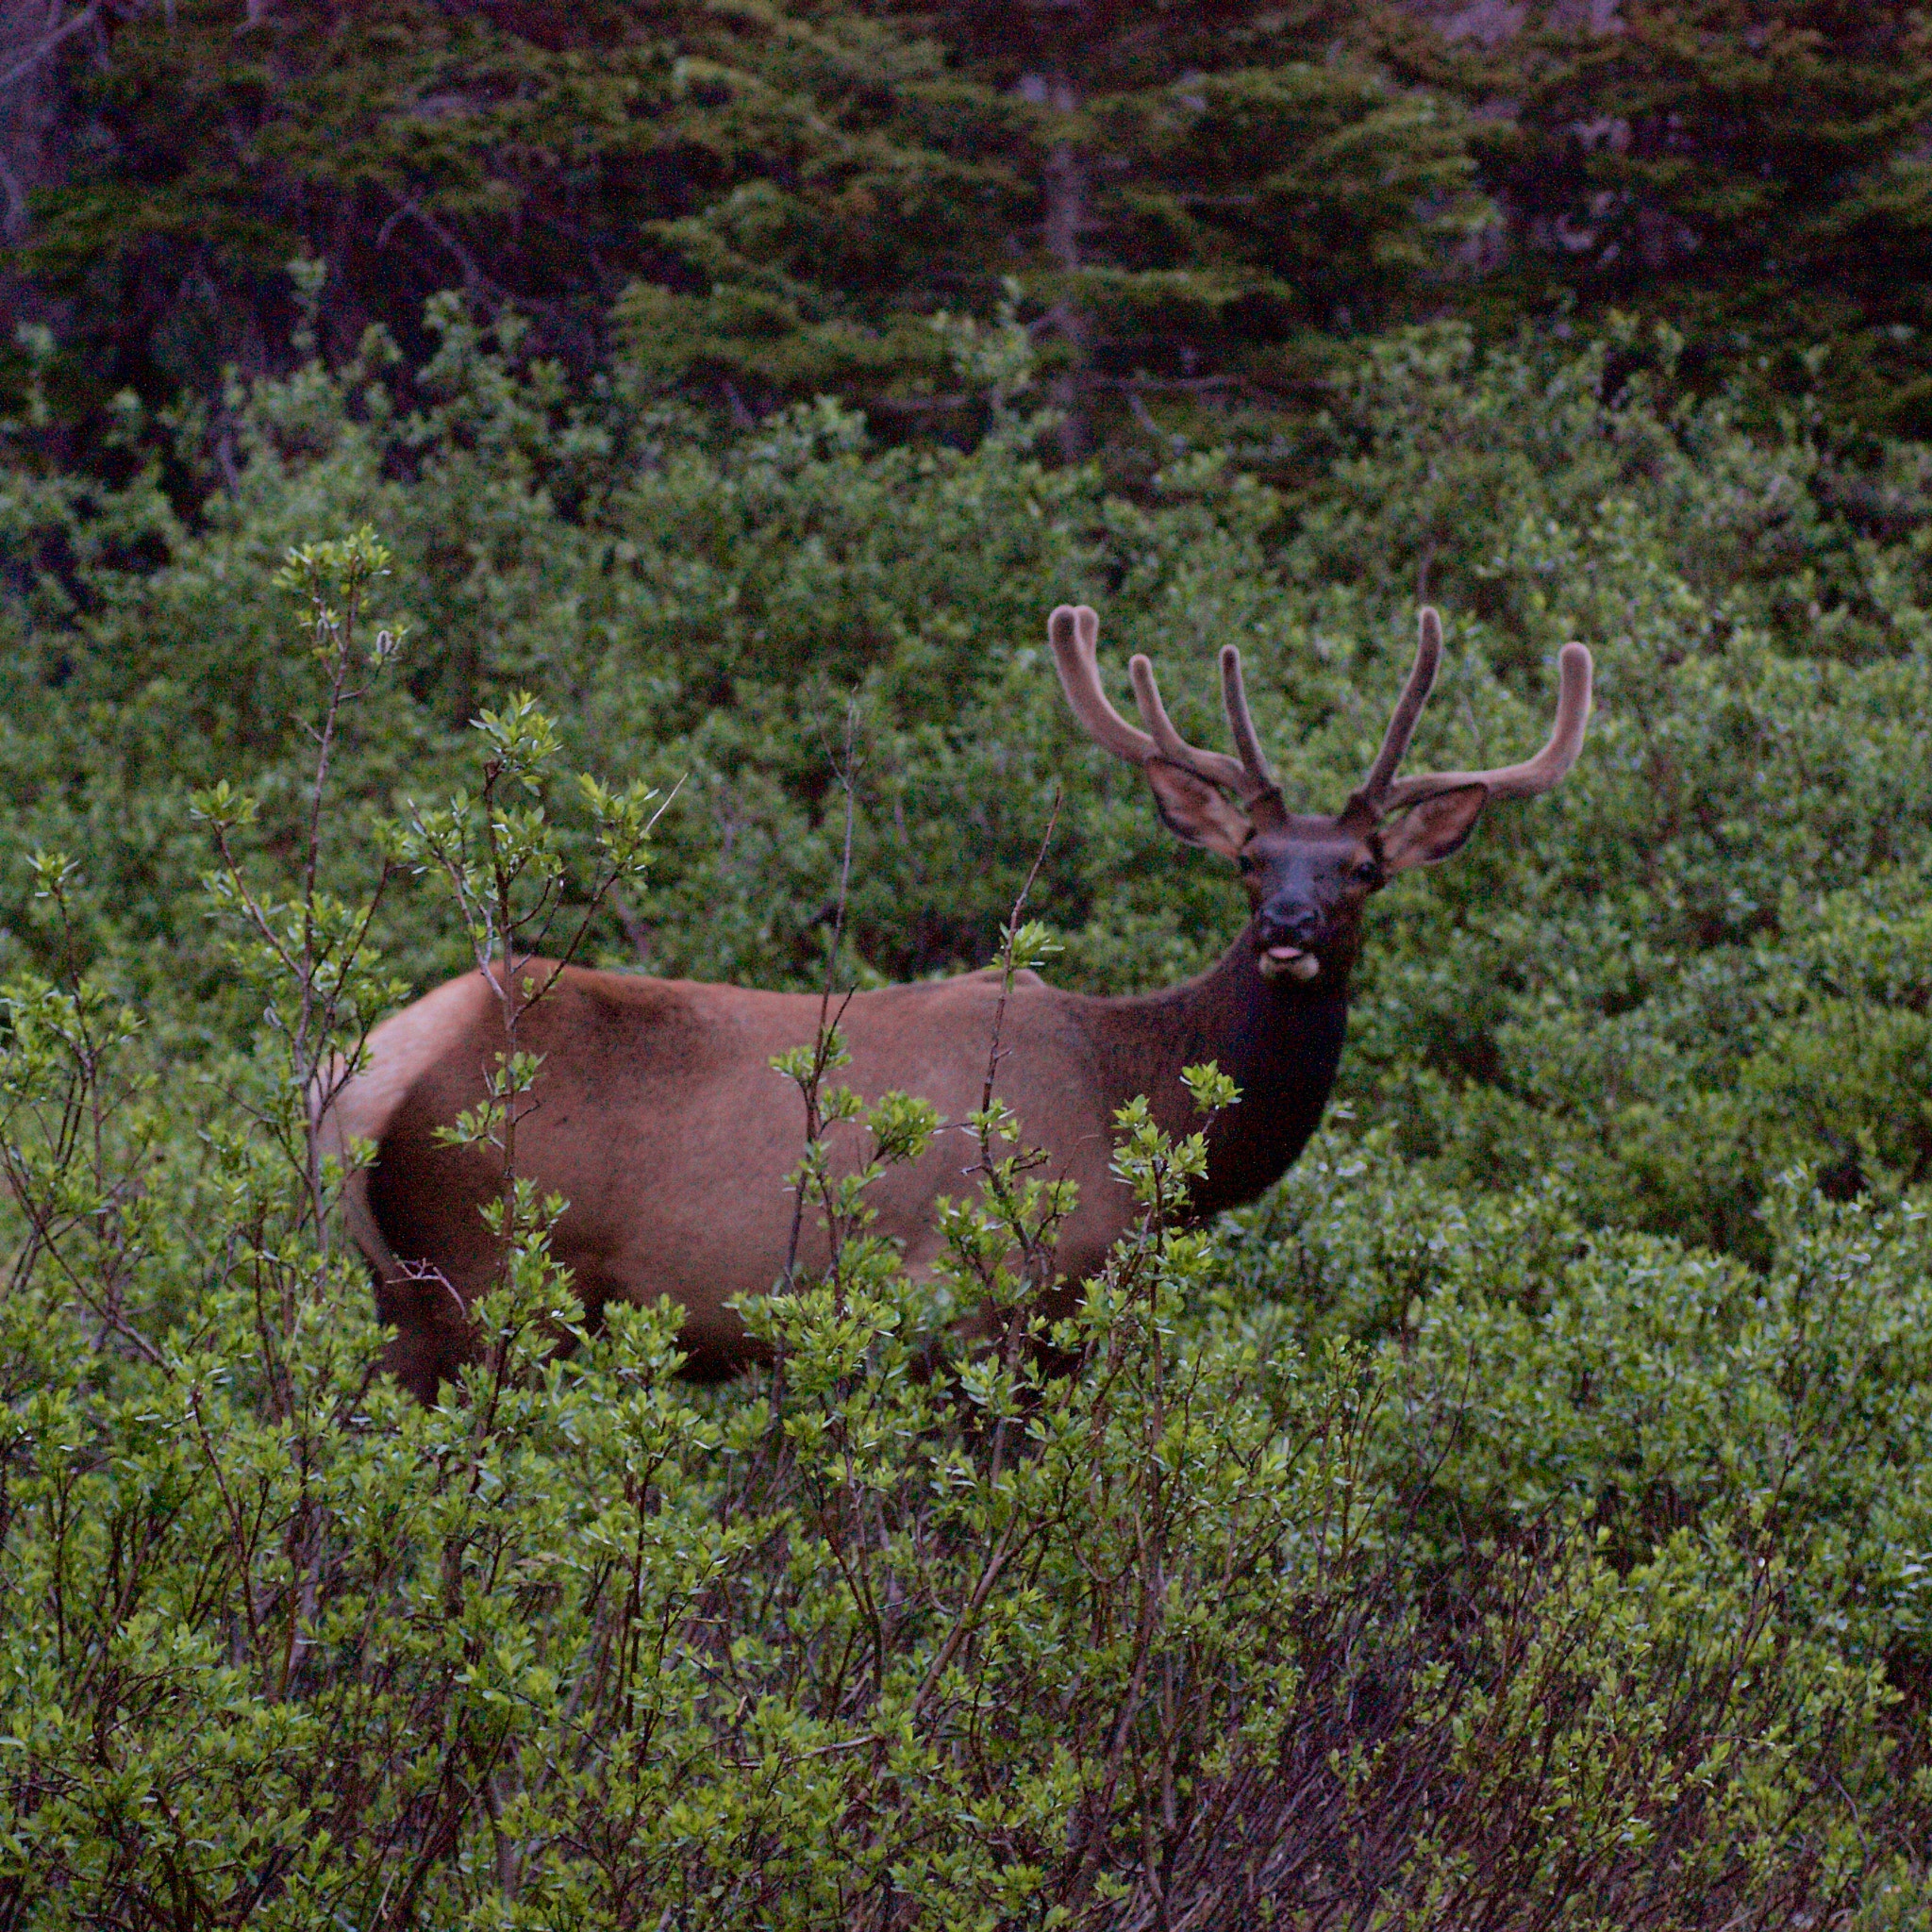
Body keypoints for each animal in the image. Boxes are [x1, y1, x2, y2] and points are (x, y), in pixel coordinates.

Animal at [325, 607, 1591, 1406]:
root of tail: (366, 1074)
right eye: (1247, 861)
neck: (1138, 1103)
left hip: (403, 1301)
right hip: (490, 1281)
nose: (1285, 928)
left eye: (1360, 869)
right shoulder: (986, 1303)